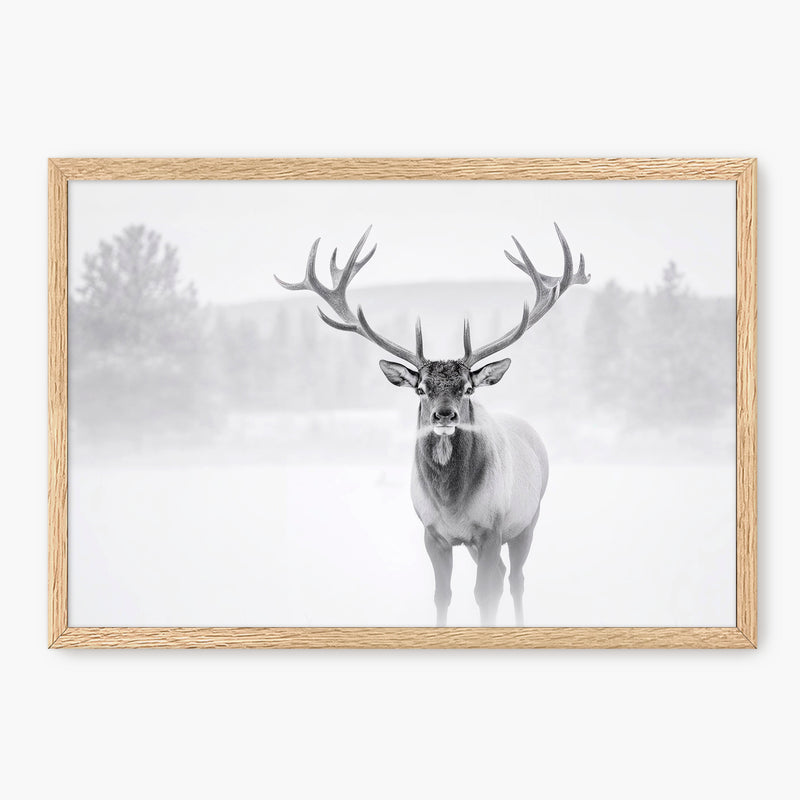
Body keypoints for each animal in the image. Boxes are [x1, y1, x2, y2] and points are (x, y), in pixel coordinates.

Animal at [275, 223, 590, 626]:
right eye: (421, 388)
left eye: (468, 388)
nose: (444, 415)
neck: (451, 505)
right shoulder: (432, 533)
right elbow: (443, 595)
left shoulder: (491, 527)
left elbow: (485, 595)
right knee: (505, 574)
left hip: (528, 518)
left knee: (515, 579)